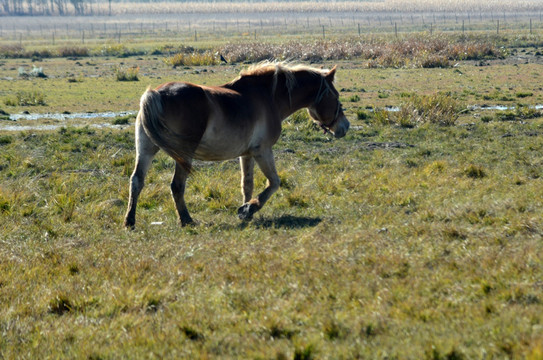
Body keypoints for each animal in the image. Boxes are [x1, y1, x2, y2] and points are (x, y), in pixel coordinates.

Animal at [123, 60, 350, 226]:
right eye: (335, 95)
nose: (345, 126)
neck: (268, 97)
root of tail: (156, 93)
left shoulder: (247, 154)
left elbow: (247, 184)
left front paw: (246, 211)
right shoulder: (262, 151)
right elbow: (274, 182)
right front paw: (250, 208)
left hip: (146, 150)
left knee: (137, 181)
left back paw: (130, 221)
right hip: (183, 155)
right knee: (177, 186)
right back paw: (187, 220)